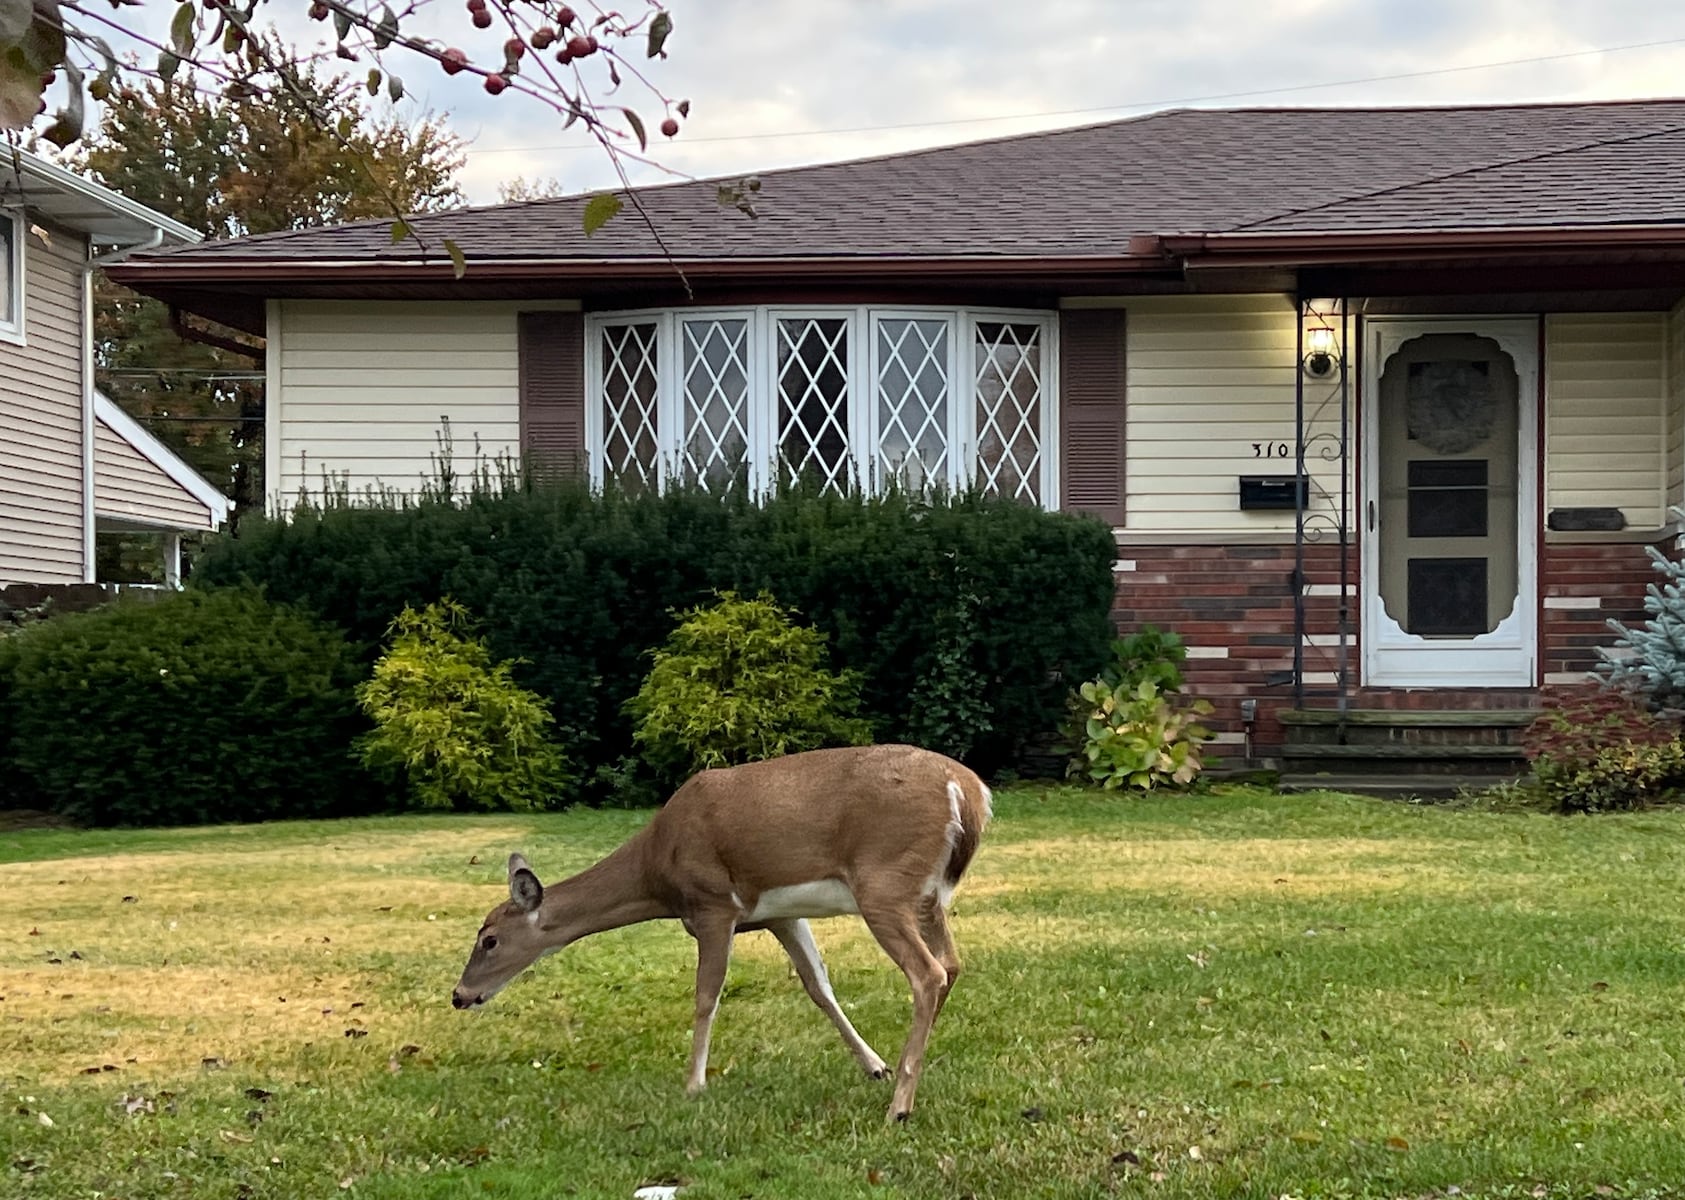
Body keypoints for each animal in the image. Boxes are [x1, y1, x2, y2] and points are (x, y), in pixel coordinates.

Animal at [451, 743, 992, 1122]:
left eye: (489, 939)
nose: (459, 995)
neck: (656, 874)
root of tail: (969, 792)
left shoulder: (712, 906)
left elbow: (706, 994)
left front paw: (693, 1083)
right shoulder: (779, 914)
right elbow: (819, 986)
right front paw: (873, 1064)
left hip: (884, 884)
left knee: (927, 973)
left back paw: (900, 1107)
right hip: (927, 897)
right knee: (951, 965)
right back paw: (907, 1079)